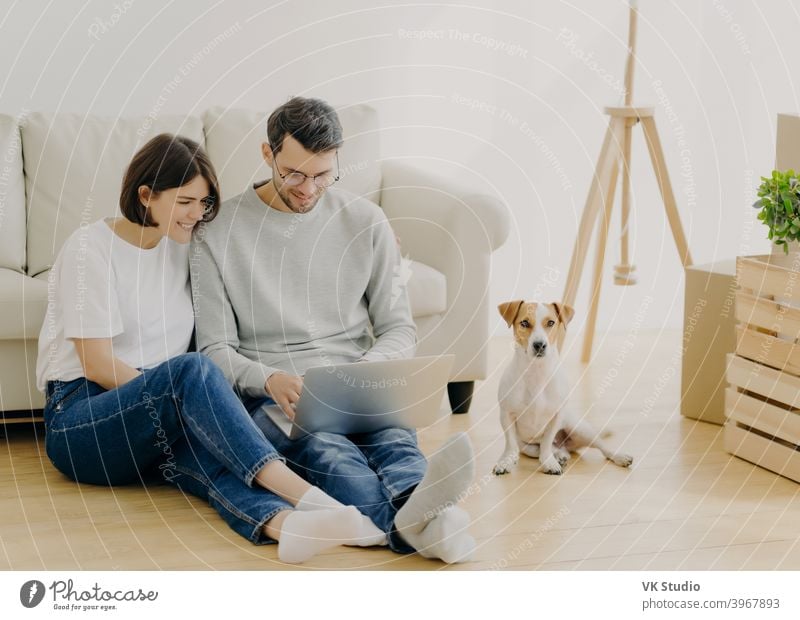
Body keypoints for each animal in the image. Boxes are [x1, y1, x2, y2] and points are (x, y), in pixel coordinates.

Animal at [490, 300, 636, 474]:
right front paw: (505, 461)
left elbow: (547, 441)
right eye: (524, 323)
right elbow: (511, 444)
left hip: (580, 429)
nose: (540, 345)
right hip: (528, 447)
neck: (536, 373)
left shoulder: (556, 416)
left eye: (551, 323)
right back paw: (560, 455)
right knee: (548, 449)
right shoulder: (506, 415)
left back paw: (618, 456)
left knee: (602, 447)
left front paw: (548, 462)